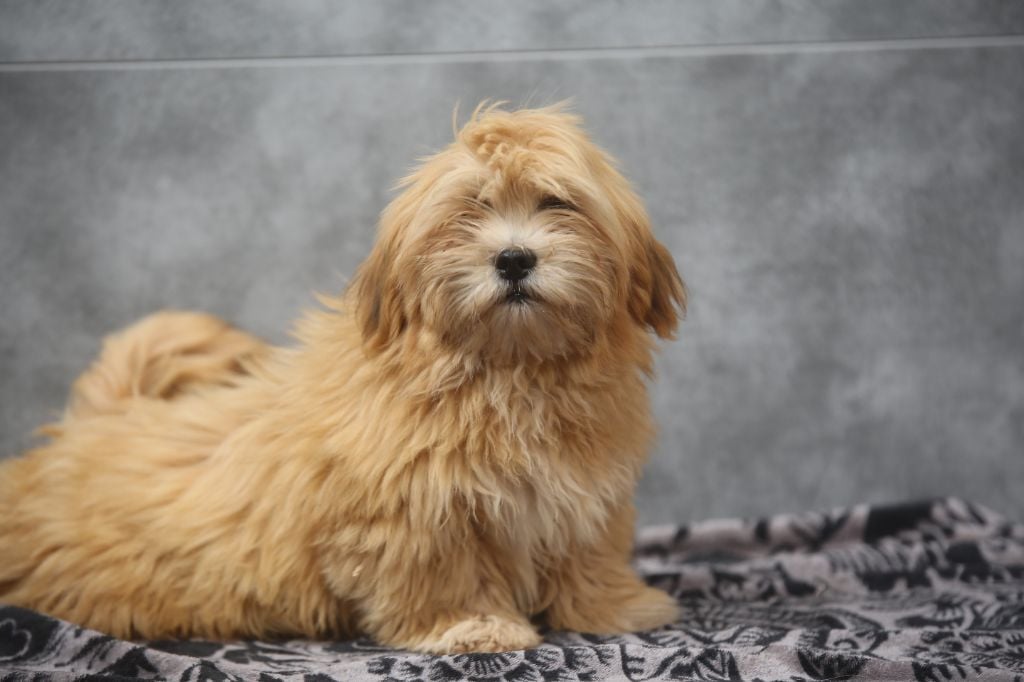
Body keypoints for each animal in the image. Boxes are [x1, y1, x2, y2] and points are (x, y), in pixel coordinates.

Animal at [0, 104, 686, 654]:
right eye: (470, 211)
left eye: (556, 202)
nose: (514, 258)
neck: (509, 375)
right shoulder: (414, 515)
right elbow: (444, 575)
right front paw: (470, 624)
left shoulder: (584, 495)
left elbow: (588, 553)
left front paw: (615, 605)